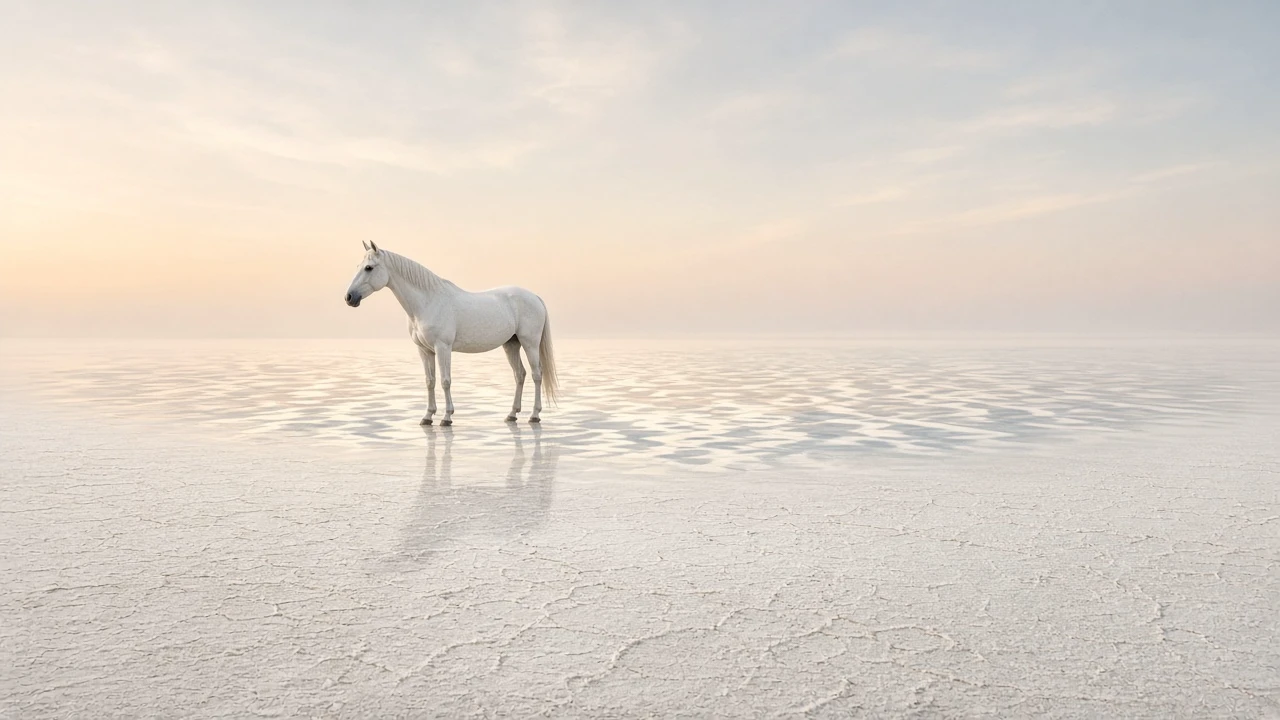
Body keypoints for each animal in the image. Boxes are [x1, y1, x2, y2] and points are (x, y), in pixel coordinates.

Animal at [344, 241, 558, 425]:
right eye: (358, 266)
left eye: (369, 267)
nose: (349, 297)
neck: (427, 302)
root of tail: (535, 296)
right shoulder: (424, 351)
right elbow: (430, 381)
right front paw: (427, 417)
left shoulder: (443, 347)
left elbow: (445, 381)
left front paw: (447, 417)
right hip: (511, 344)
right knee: (519, 374)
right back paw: (512, 414)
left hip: (530, 343)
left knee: (536, 374)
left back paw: (534, 415)